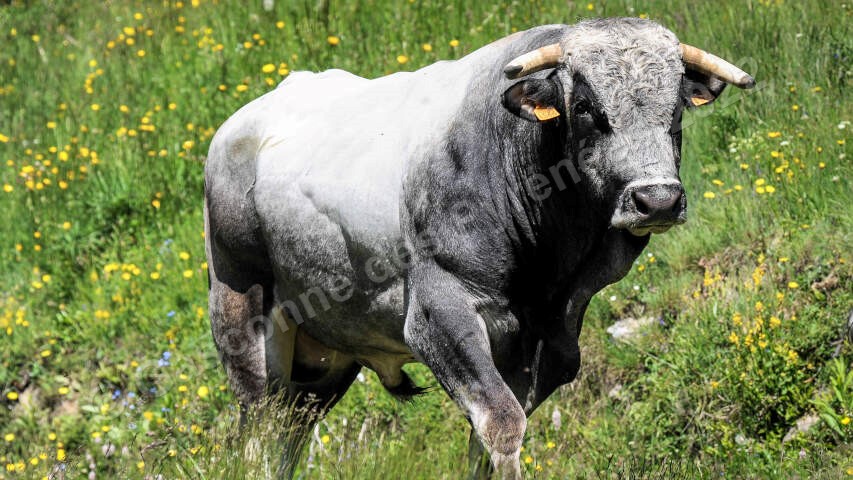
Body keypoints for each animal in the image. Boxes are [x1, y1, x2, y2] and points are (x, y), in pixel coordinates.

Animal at [206, 16, 752, 478]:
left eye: (676, 107)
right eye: (586, 108)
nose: (657, 199)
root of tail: (238, 126)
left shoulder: (550, 338)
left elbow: (487, 437)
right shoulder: (438, 313)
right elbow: (501, 424)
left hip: (322, 359)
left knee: (289, 433)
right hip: (242, 312)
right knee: (257, 430)